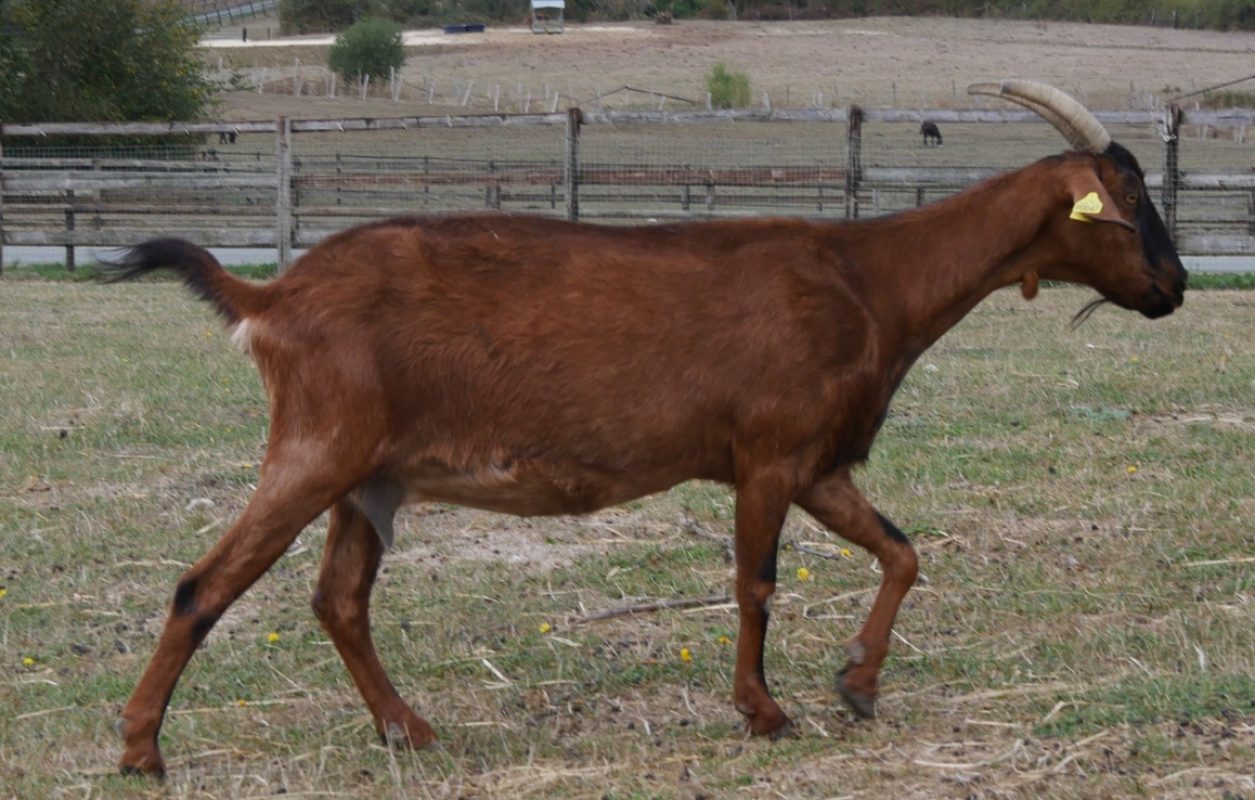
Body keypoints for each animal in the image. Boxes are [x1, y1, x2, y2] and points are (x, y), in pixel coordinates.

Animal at [105, 80, 1186, 777]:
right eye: (1128, 200)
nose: (1173, 287)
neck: (869, 278)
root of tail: (271, 294)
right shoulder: (768, 454)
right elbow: (755, 584)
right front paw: (765, 710)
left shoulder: (820, 463)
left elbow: (902, 551)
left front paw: (857, 683)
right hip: (317, 446)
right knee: (204, 584)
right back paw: (142, 748)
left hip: (368, 477)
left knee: (338, 599)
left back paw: (409, 731)